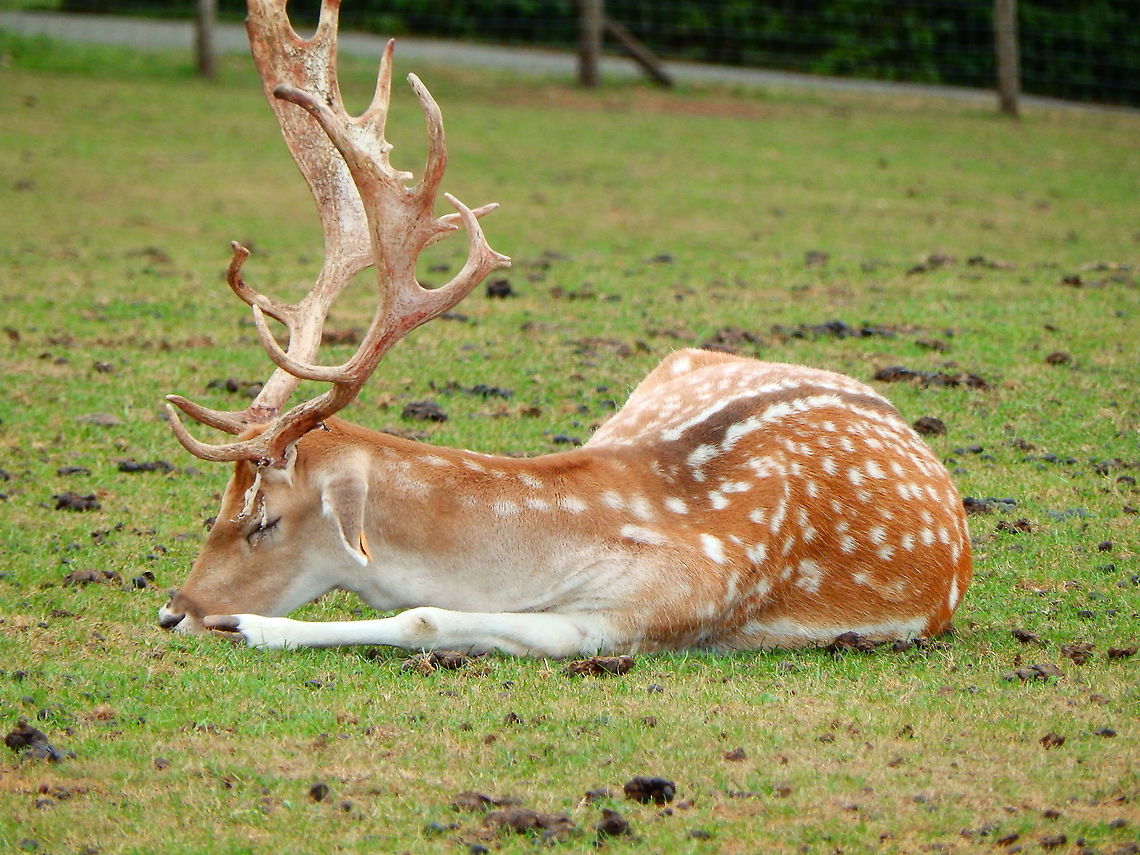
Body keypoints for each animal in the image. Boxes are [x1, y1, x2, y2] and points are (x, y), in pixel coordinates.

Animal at [158, 0, 972, 657]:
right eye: (220, 506)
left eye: (265, 521)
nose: (175, 611)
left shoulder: (660, 609)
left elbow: (427, 615)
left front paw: (259, 627)